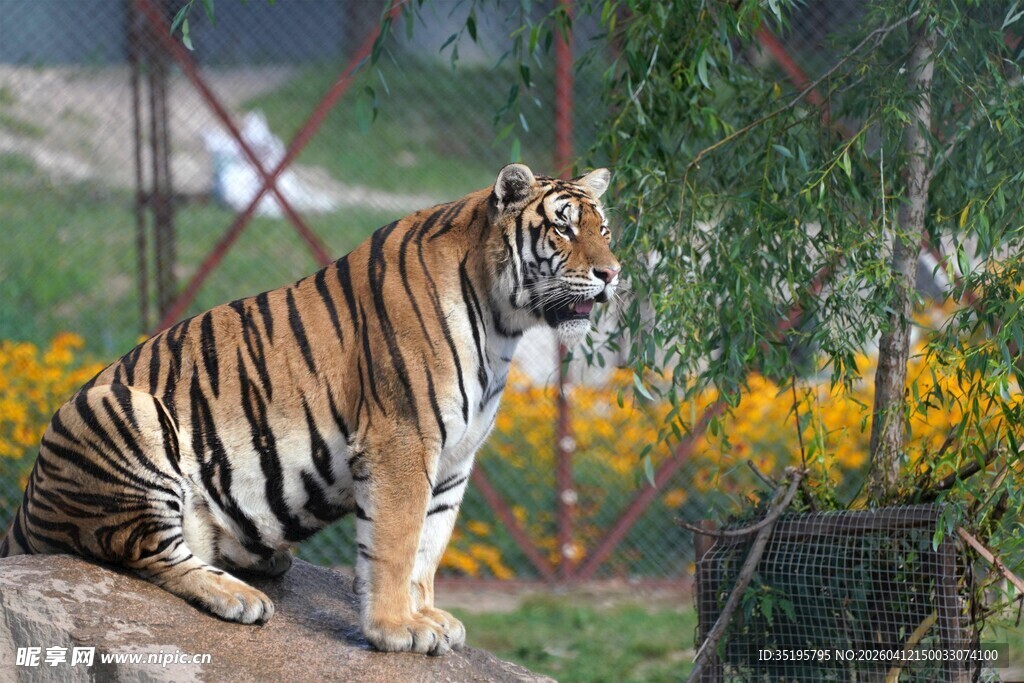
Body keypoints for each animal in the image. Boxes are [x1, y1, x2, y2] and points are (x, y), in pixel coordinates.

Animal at [0, 163, 620, 655]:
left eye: (605, 231)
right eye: (564, 226)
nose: (612, 274)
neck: (502, 324)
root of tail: (25, 508)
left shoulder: (454, 460)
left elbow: (429, 544)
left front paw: (426, 616)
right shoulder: (403, 439)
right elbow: (396, 542)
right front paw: (395, 629)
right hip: (121, 409)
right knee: (148, 551)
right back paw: (239, 597)